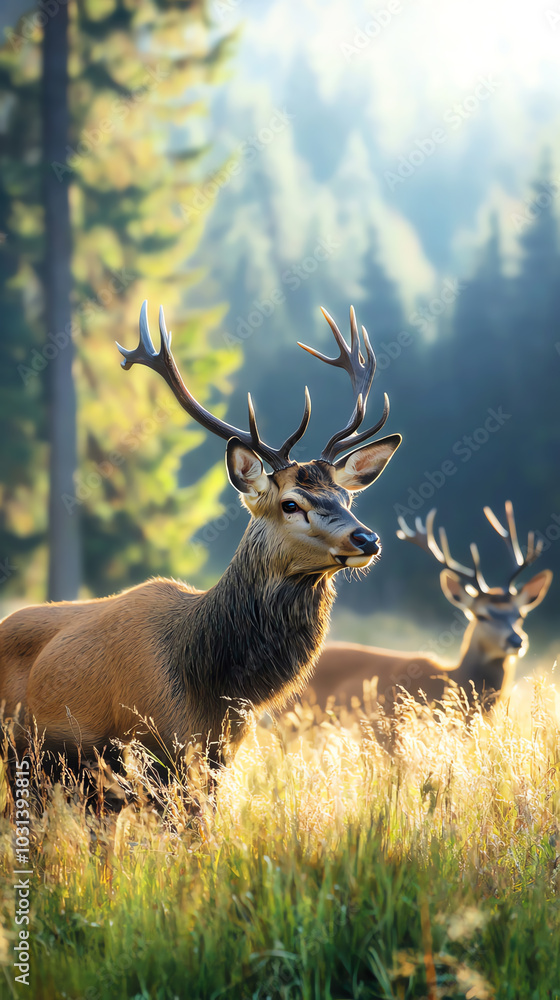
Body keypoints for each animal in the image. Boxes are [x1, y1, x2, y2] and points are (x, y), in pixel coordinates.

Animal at [0, 303, 401, 781]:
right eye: (290, 503)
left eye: (346, 496)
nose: (367, 538)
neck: (211, 687)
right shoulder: (148, 749)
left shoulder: (218, 758)